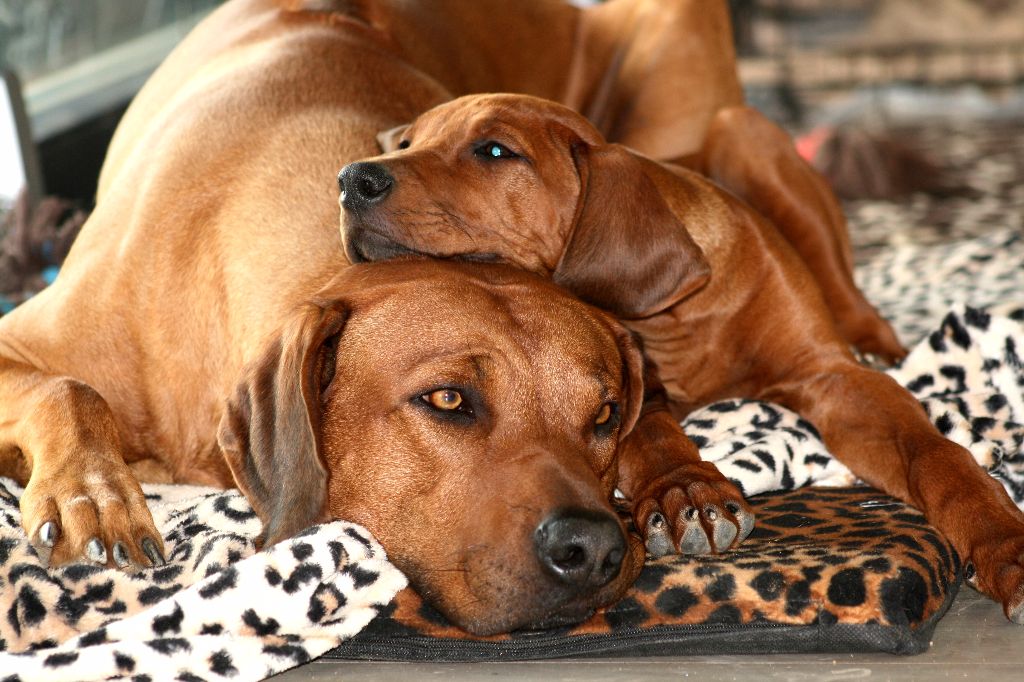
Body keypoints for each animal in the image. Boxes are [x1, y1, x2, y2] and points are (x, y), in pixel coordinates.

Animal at [339, 94, 1024, 622]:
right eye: (406, 140)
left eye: (495, 151)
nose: (352, 179)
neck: (678, 321)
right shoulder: (630, 379)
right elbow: (652, 432)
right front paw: (686, 491)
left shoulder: (831, 379)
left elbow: (934, 453)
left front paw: (1004, 541)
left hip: (742, 131)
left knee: (851, 295)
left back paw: (883, 341)